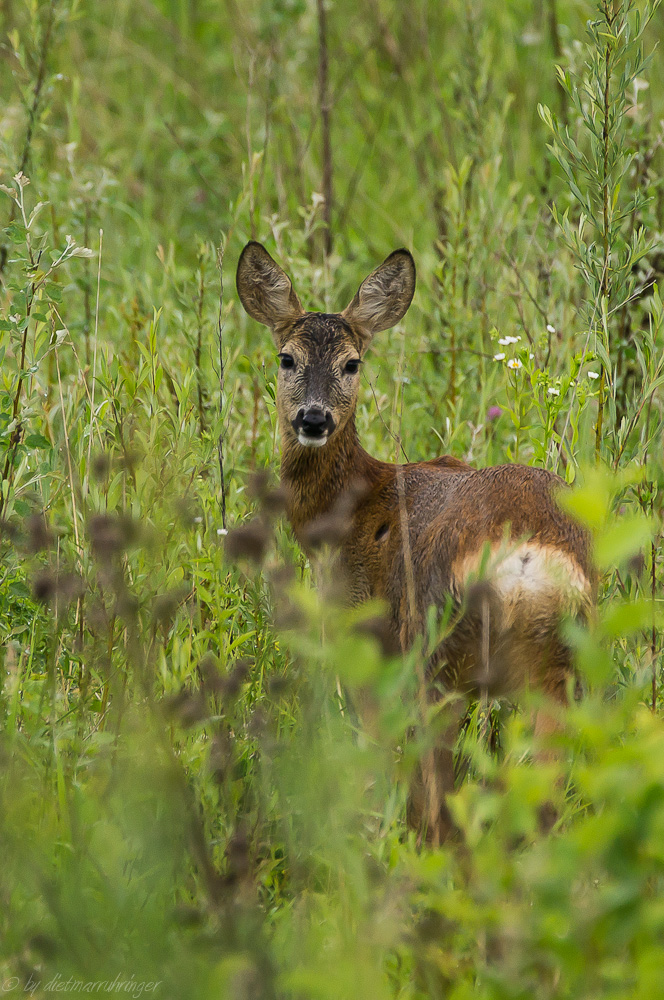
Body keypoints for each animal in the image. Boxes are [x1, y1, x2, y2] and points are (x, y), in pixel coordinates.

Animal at [236, 242, 592, 844]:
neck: (351, 507)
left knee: (442, 799)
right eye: (286, 358)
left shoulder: (366, 635)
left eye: (351, 363)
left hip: (437, 649)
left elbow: (378, 754)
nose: (313, 418)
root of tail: (526, 560)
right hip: (560, 664)